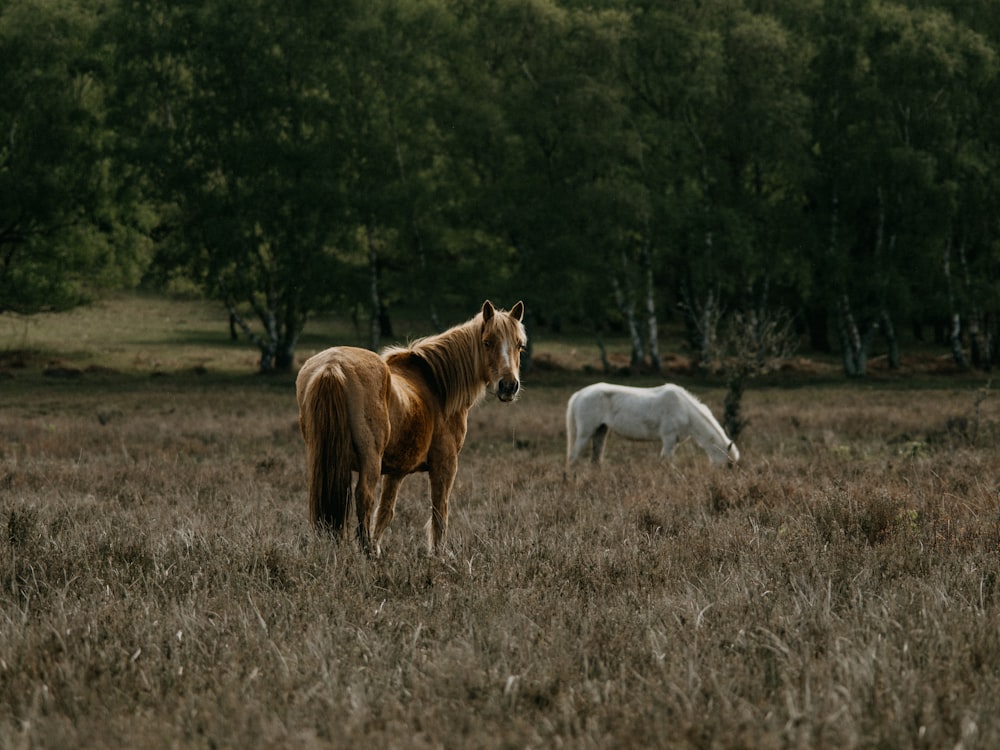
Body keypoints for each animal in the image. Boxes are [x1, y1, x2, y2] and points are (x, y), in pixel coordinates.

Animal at [294, 302, 524, 560]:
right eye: (487, 342)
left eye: (519, 344)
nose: (508, 386)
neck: (436, 385)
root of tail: (332, 366)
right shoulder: (445, 465)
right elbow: (439, 511)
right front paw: (438, 554)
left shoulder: (396, 472)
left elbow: (386, 512)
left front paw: (378, 548)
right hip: (370, 461)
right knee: (364, 497)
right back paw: (365, 552)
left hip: (321, 459)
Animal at [568, 384, 740, 468]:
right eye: (729, 465)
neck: (685, 410)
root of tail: (579, 394)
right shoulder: (669, 438)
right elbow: (667, 462)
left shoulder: (674, 442)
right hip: (585, 433)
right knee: (573, 459)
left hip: (601, 431)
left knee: (595, 459)